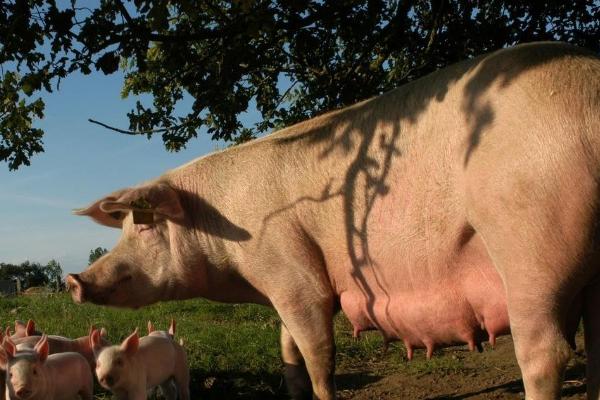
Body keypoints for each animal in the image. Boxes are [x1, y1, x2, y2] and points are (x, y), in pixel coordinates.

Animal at [65, 42, 600, 398]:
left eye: (144, 224)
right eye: (125, 226)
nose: (73, 279)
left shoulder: (292, 270)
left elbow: (317, 352)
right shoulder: (280, 287)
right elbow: (287, 348)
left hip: (528, 238)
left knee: (545, 352)